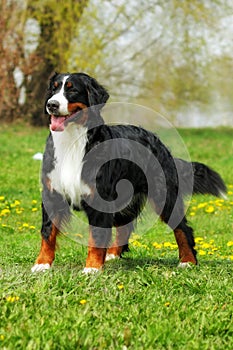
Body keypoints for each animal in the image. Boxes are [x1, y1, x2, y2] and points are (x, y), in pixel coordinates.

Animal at [30, 73, 226, 274]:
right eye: (53, 89)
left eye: (72, 90)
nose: (52, 104)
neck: (72, 142)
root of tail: (158, 141)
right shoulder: (52, 194)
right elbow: (47, 233)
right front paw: (42, 264)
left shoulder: (99, 199)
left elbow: (96, 236)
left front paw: (92, 268)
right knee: (124, 227)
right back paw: (112, 254)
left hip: (163, 197)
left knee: (183, 228)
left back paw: (187, 260)